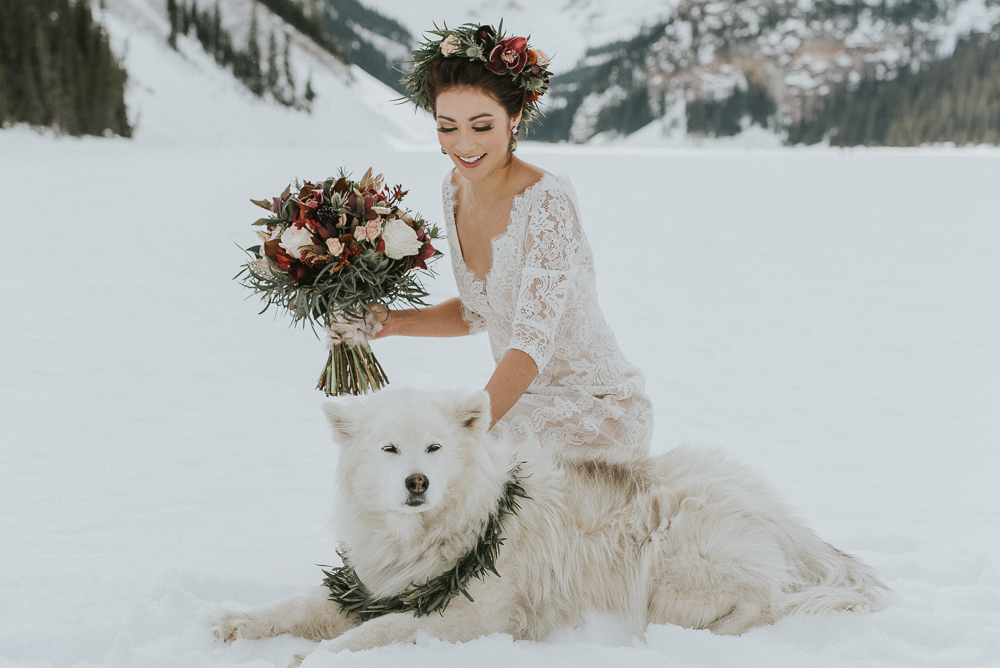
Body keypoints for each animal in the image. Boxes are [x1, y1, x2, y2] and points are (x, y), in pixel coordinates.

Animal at [213, 389, 886, 665]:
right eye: (389, 450)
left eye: (433, 448)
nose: (416, 483)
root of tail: (781, 514)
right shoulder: (376, 585)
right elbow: (300, 605)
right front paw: (237, 622)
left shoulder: (470, 617)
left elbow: (382, 632)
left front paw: (314, 655)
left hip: (676, 562)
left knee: (762, 601)